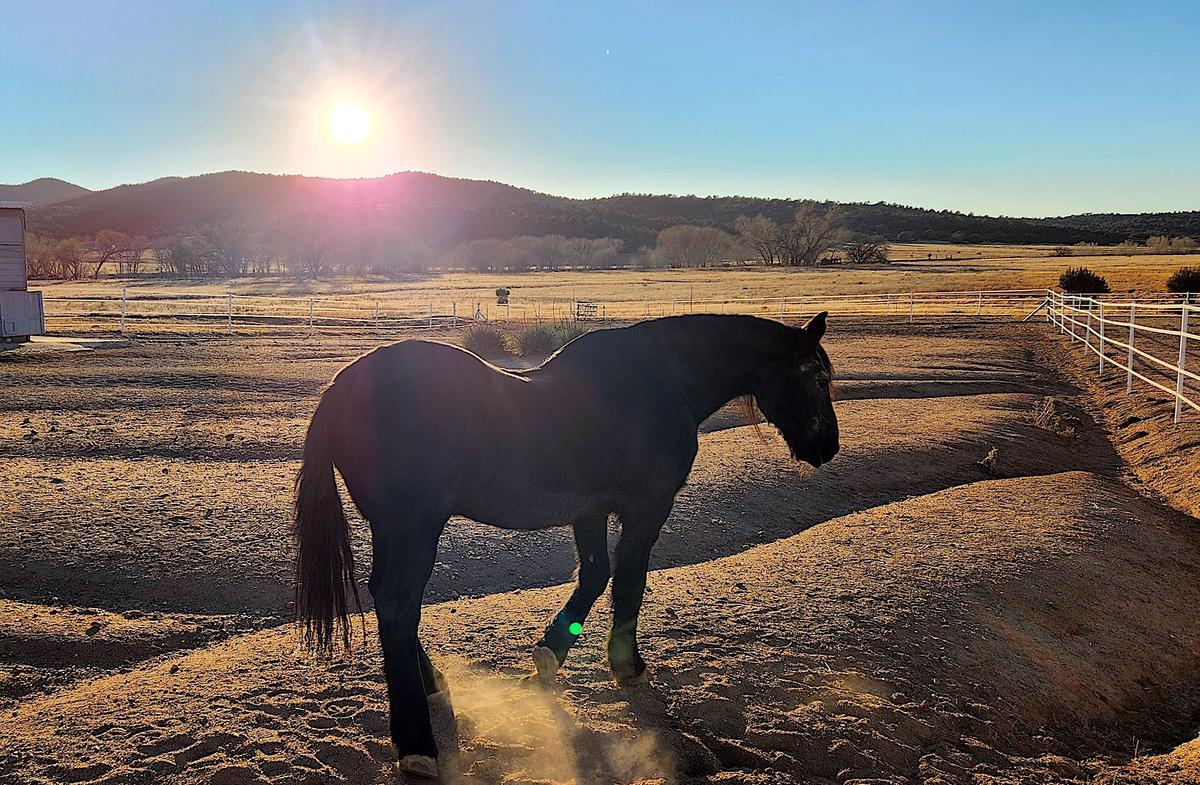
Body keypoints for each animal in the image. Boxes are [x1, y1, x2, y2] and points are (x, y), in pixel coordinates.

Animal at [293, 312, 839, 778]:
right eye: (817, 378)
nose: (828, 447)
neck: (661, 381)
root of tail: (345, 385)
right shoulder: (646, 508)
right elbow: (630, 581)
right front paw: (627, 665)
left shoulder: (590, 511)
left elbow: (595, 576)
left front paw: (549, 654)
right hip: (414, 528)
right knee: (398, 605)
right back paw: (417, 745)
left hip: (394, 530)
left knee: (387, 602)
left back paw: (432, 684)